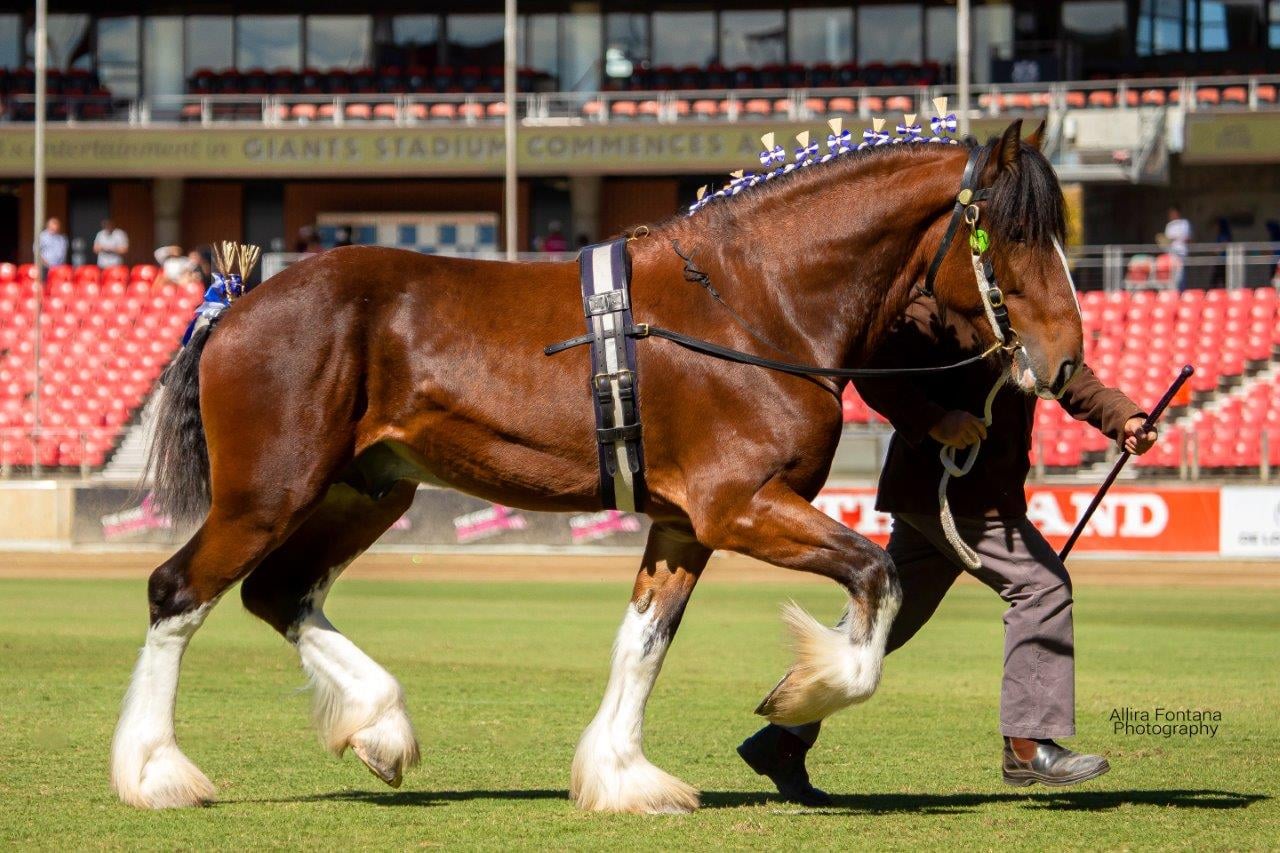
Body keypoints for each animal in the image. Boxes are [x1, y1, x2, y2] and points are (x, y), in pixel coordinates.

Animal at [115, 119, 1085, 809]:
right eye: (1010, 232)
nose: (1067, 358)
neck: (750, 302)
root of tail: (239, 303)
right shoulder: (740, 505)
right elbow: (877, 576)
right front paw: (802, 692)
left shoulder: (683, 524)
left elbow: (644, 641)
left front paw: (621, 773)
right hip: (268, 494)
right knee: (177, 592)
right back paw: (156, 771)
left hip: (365, 491)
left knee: (277, 593)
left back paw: (380, 727)